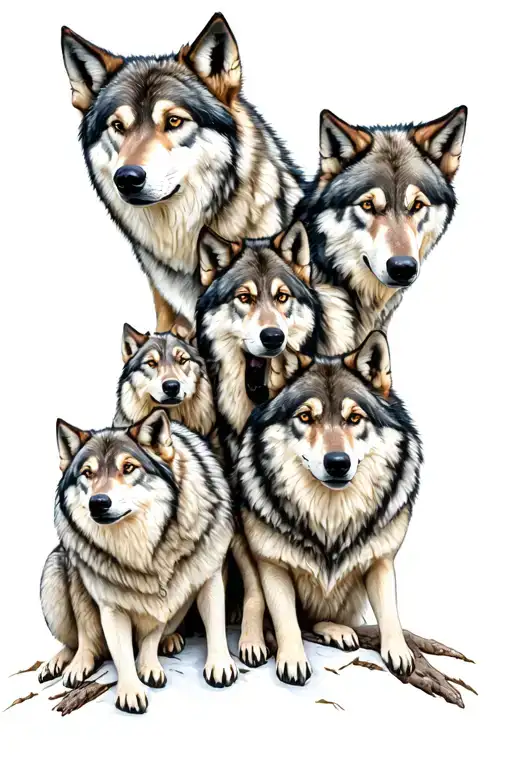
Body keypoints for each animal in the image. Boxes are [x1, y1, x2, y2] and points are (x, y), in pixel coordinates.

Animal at [39, 410, 236, 713]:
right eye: (88, 473)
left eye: (129, 467)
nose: (98, 502)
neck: (141, 550)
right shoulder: (108, 604)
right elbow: (116, 650)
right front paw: (130, 691)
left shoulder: (206, 576)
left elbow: (209, 624)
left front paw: (217, 665)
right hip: (56, 570)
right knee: (80, 640)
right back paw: (64, 663)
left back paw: (170, 640)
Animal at [238, 331, 423, 685]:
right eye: (305, 417)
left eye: (354, 418)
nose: (337, 463)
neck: (330, 518)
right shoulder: (272, 563)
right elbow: (285, 619)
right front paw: (293, 660)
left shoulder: (381, 559)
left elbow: (389, 611)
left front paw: (399, 652)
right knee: (258, 603)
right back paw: (252, 641)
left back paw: (338, 630)